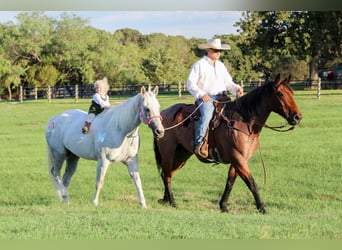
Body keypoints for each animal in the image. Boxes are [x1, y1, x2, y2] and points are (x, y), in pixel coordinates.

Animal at [154, 74, 302, 213]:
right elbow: (252, 183)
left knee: (167, 173)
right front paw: (262, 208)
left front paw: (223, 206)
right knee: (166, 175)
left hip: (182, 155)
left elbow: (230, 182)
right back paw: (173, 202)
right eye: (280, 94)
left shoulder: (238, 159)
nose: (297, 117)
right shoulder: (238, 158)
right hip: (168, 152)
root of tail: (162, 114)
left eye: (292, 93)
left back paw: (166, 199)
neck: (243, 121)